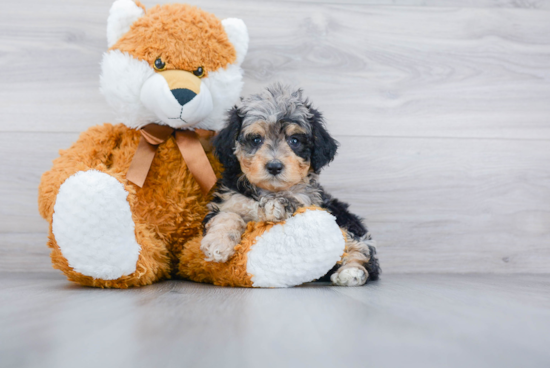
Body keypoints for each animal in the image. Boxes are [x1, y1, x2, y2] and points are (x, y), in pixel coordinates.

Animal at [201, 84, 382, 288]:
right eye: (256, 140)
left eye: (294, 141)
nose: (274, 166)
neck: (268, 190)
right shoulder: (228, 201)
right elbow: (227, 216)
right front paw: (217, 244)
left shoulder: (309, 201)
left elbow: (292, 199)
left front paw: (275, 206)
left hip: (342, 219)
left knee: (362, 248)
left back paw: (351, 272)